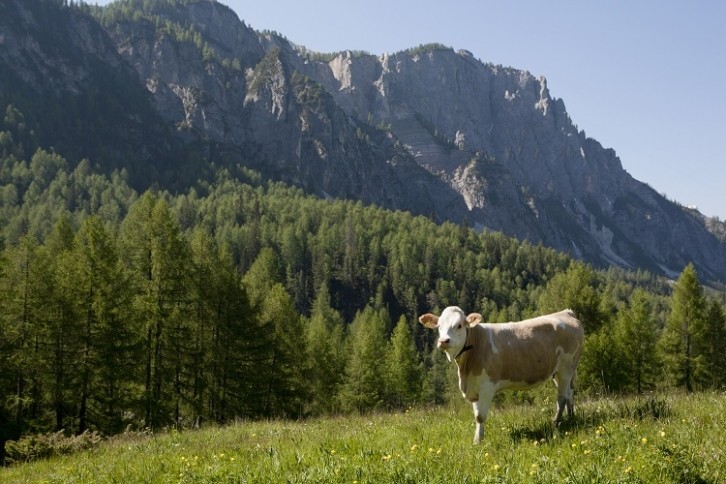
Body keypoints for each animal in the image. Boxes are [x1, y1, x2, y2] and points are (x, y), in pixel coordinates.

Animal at [420, 308, 584, 444]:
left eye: (459, 325)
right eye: (439, 326)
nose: (443, 341)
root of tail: (566, 312)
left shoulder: (486, 387)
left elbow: (480, 416)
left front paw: (478, 441)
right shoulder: (474, 387)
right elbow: (476, 414)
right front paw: (478, 438)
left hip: (565, 368)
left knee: (562, 397)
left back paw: (556, 424)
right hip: (561, 371)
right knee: (570, 392)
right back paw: (571, 418)